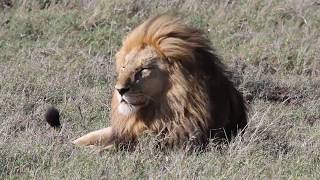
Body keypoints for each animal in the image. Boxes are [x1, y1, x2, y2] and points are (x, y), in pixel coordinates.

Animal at [72, 14, 248, 150]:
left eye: (143, 69)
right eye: (123, 67)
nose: (119, 90)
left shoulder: (169, 140)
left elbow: (111, 148)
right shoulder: (123, 130)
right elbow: (96, 135)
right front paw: (72, 144)